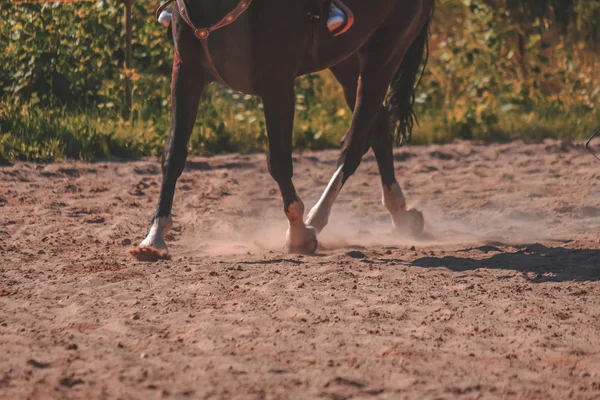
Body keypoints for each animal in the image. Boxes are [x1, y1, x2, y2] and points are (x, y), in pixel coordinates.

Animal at [132, 0, 436, 260]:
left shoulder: (277, 83)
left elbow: (278, 161)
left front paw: (299, 233)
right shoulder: (186, 73)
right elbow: (173, 155)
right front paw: (154, 237)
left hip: (385, 54)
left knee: (355, 143)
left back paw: (316, 219)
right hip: (346, 60)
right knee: (379, 124)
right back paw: (401, 214)